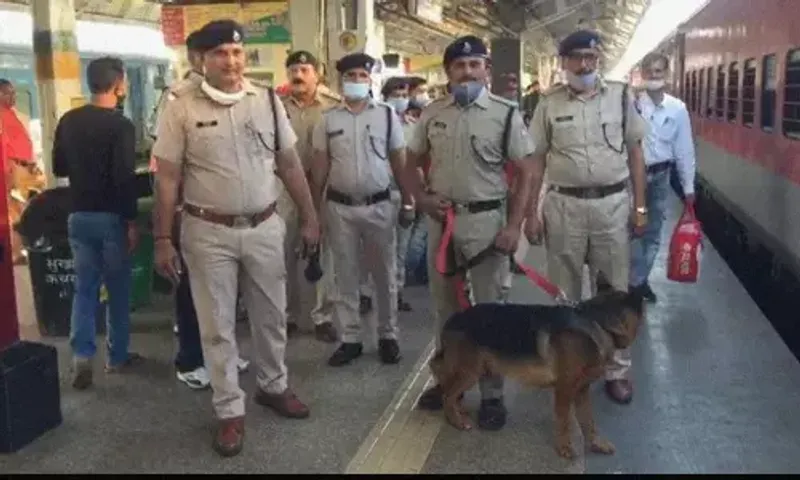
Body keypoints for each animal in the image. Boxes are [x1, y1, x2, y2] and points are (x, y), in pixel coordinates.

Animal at [428, 290, 648, 460]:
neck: (597, 320)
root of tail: (454, 318)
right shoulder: (564, 390)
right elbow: (564, 421)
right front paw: (564, 447)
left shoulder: (582, 391)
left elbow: (589, 422)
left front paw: (596, 443)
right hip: (471, 371)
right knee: (447, 394)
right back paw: (456, 421)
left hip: (474, 370)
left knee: (450, 390)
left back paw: (459, 410)